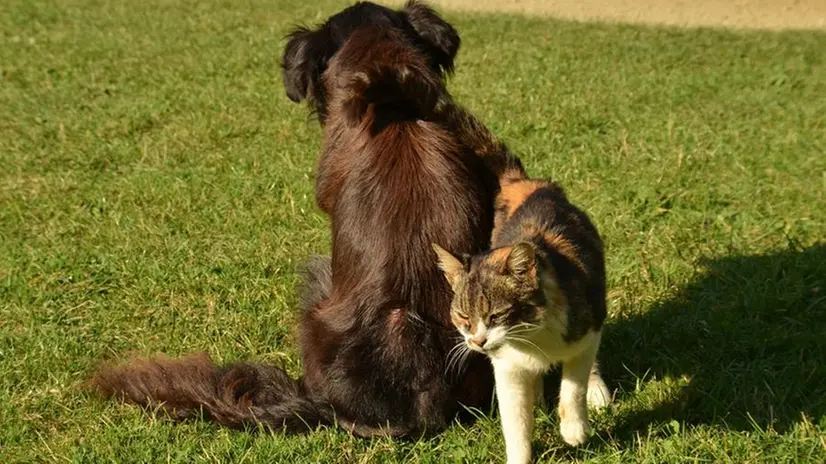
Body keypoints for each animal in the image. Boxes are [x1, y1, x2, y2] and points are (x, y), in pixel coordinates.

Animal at [434, 176, 608, 462]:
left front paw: (574, 428)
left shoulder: (587, 330)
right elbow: (515, 422)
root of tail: (531, 184)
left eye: (496, 315)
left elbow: (574, 383)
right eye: (463, 316)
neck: (531, 336)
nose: (477, 341)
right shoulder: (507, 367)